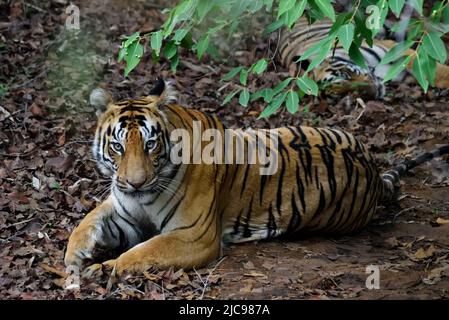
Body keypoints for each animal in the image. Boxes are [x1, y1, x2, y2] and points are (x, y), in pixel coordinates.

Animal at [65, 79, 448, 276]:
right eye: (117, 146)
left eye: (150, 143)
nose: (136, 182)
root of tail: (373, 171)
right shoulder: (122, 209)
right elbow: (85, 224)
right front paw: (74, 257)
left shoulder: (193, 236)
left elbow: (142, 252)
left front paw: (105, 267)